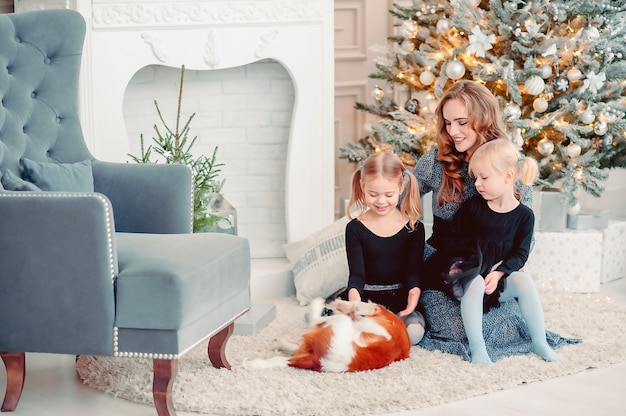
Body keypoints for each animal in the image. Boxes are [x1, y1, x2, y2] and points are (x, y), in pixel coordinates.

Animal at [244, 298, 410, 372]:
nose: (329, 310)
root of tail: (316, 359)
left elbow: (360, 305)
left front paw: (341, 305)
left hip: (340, 322)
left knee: (314, 320)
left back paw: (319, 304)